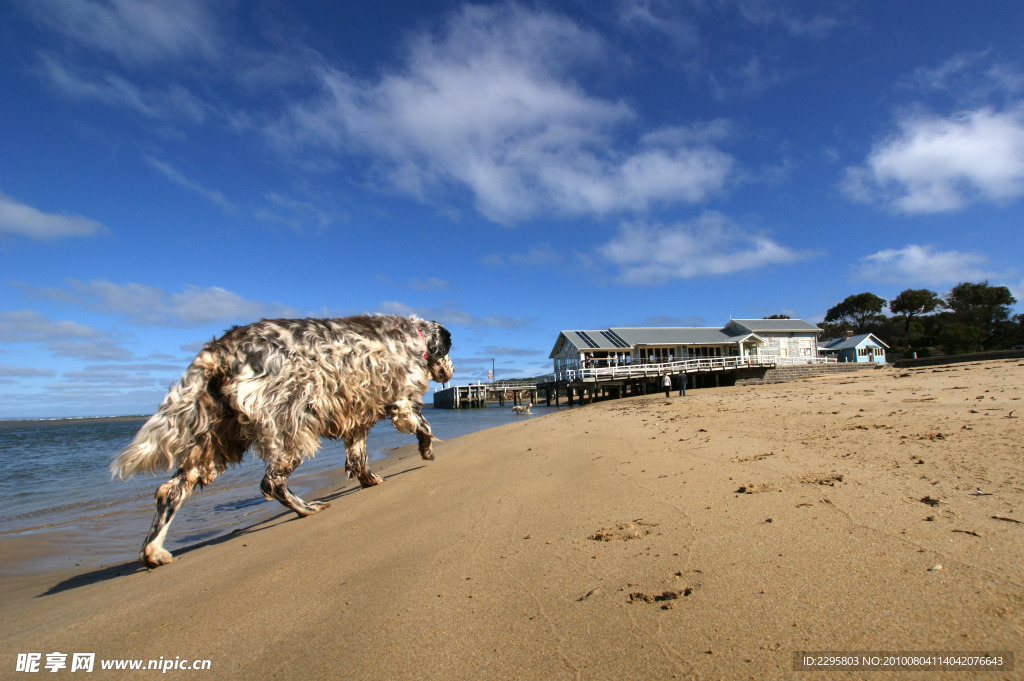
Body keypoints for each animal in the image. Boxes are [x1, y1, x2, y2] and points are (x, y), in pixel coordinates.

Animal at [109, 315, 456, 565]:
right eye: (450, 350)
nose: (451, 370)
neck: (412, 337)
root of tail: (219, 350)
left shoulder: (358, 416)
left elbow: (358, 456)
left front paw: (369, 479)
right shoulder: (401, 401)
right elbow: (423, 425)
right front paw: (426, 450)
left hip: (216, 442)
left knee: (170, 491)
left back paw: (154, 552)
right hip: (291, 427)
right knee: (271, 482)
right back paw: (306, 508)